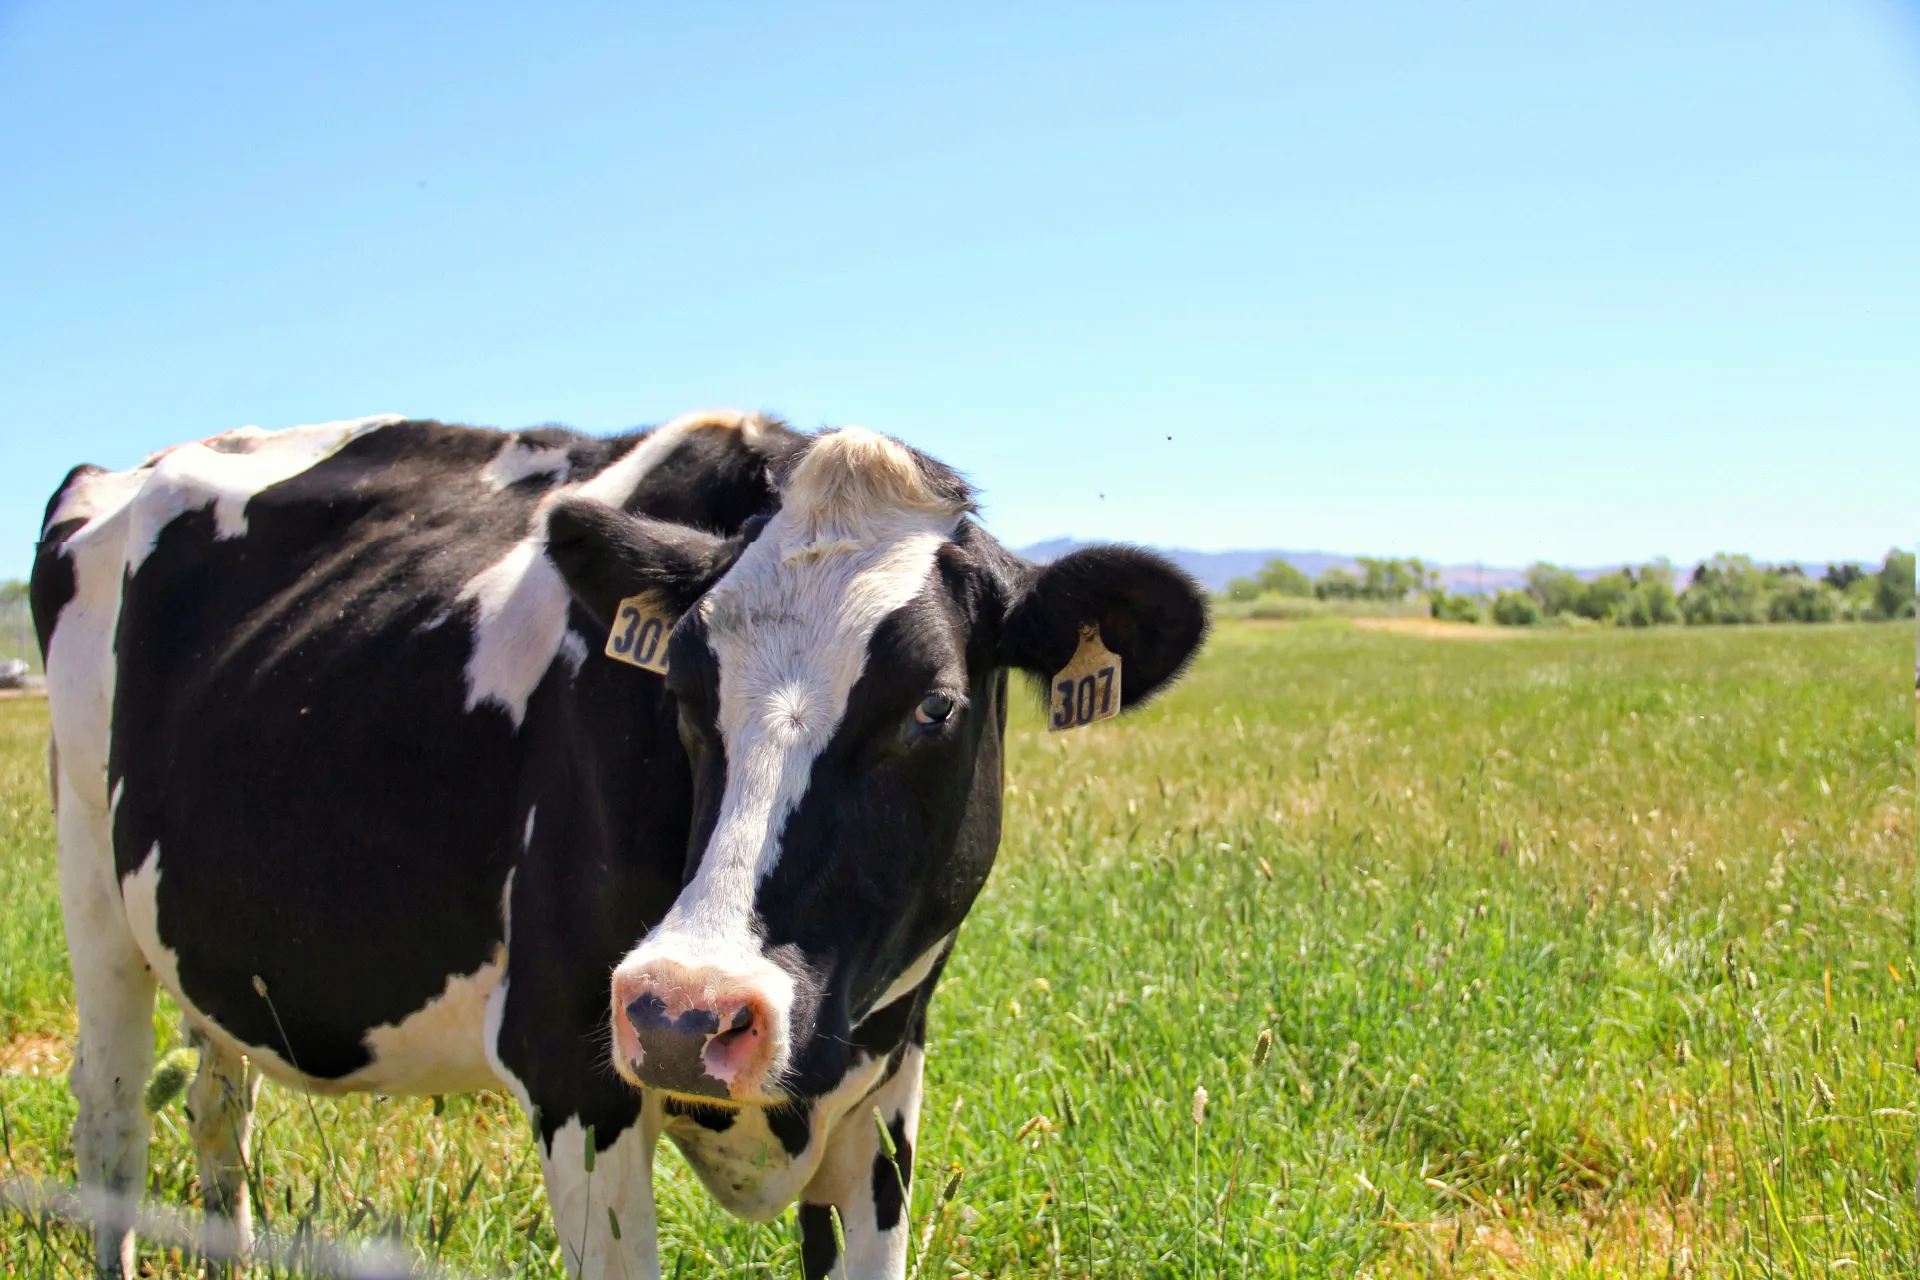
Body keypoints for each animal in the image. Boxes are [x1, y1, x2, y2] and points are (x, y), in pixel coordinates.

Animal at [32, 410, 1208, 1279]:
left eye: (934, 706)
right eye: (680, 687)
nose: (688, 1011)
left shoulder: (884, 1095)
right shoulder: (571, 1068)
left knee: (218, 1109)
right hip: (89, 885)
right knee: (112, 1122)